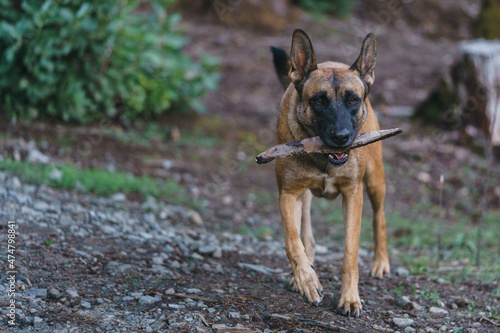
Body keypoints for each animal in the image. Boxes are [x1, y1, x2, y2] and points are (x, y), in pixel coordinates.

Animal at [270, 29, 390, 316]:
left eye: (352, 100)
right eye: (319, 100)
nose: (341, 137)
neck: (323, 157)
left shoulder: (353, 194)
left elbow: (350, 252)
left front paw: (350, 298)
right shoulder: (288, 193)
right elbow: (293, 241)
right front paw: (306, 280)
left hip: (374, 181)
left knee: (379, 217)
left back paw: (381, 262)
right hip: (304, 195)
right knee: (306, 236)